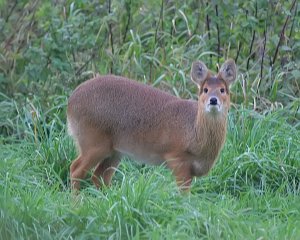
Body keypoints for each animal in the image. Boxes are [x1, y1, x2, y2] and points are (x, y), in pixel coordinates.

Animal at [67, 59, 237, 192]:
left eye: (223, 90)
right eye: (205, 90)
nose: (213, 100)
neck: (194, 133)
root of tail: (70, 103)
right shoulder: (177, 159)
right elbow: (183, 194)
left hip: (114, 151)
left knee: (99, 177)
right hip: (93, 142)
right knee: (76, 170)